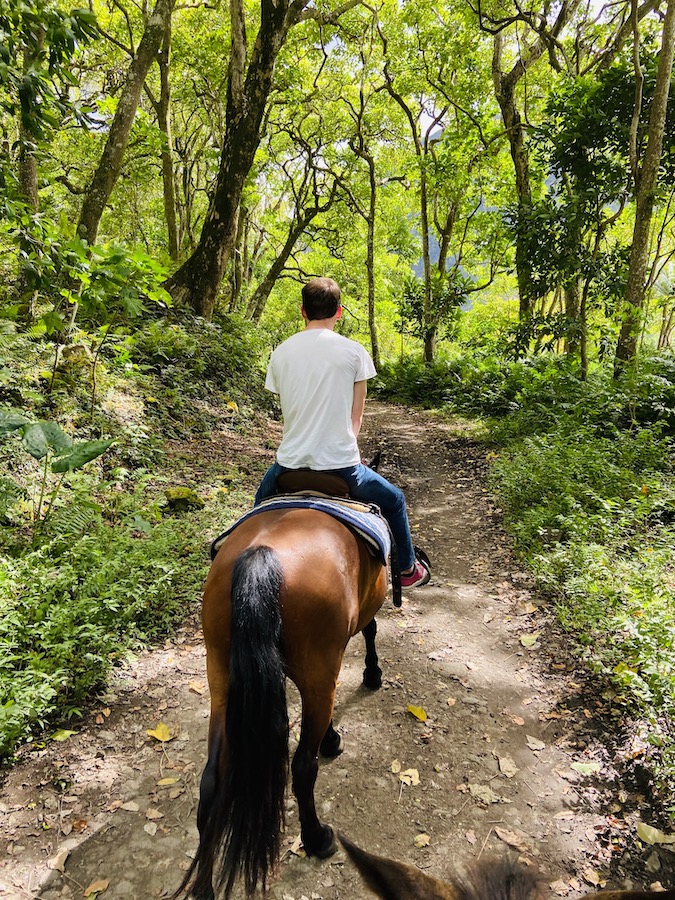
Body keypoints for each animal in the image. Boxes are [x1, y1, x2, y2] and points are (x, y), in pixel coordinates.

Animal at [177, 475, 389, 899]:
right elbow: (371, 631)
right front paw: (370, 678)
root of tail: (262, 557)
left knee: (211, 783)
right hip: (315, 666)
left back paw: (205, 887)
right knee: (303, 766)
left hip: (221, 679)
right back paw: (317, 838)